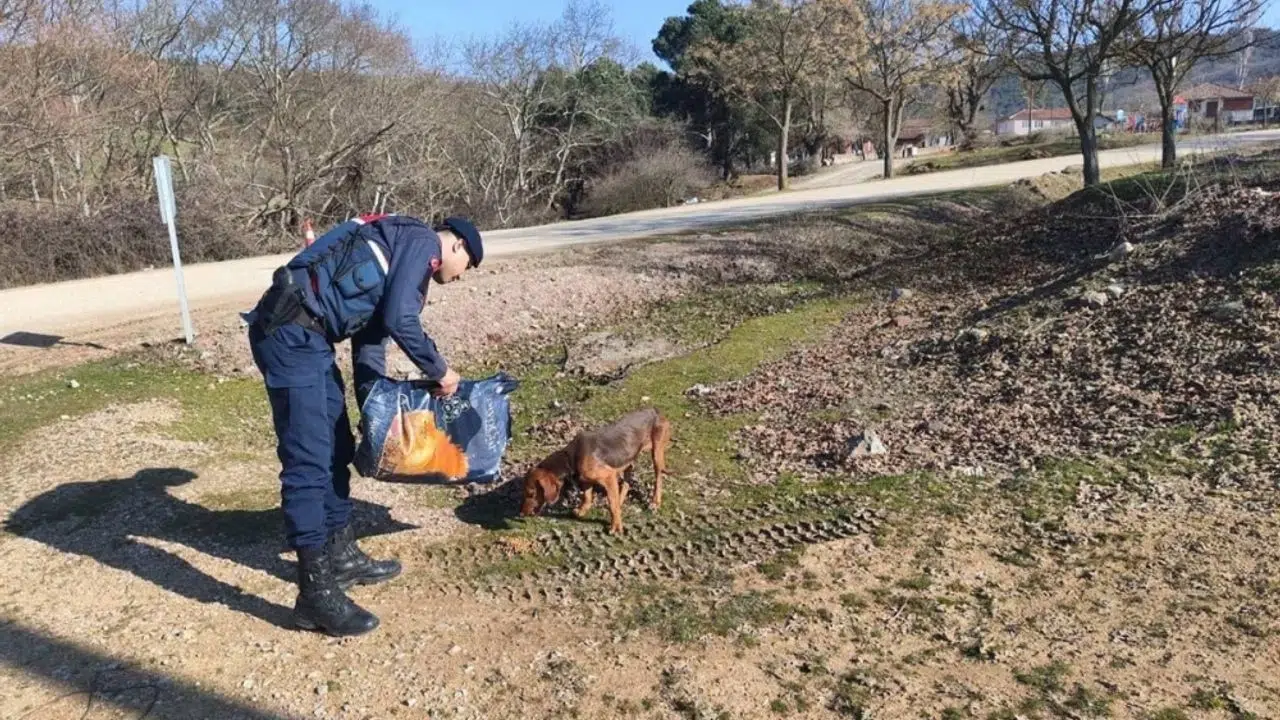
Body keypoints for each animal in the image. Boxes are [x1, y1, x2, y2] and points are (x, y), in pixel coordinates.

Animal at [517, 407, 670, 530]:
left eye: (531, 494)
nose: (521, 514)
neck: (571, 458)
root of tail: (654, 410)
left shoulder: (608, 476)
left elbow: (612, 505)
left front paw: (616, 526)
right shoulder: (586, 480)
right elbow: (587, 497)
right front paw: (581, 511)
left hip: (656, 453)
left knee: (658, 477)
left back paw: (655, 502)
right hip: (628, 459)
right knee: (627, 480)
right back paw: (621, 499)